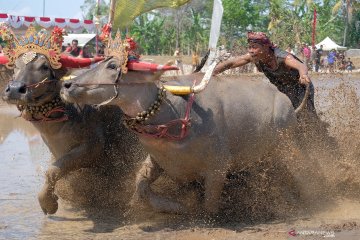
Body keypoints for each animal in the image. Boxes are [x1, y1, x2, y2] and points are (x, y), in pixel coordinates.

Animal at [1, 54, 145, 216]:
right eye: (15, 66)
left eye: (45, 66)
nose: (14, 89)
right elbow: (57, 169)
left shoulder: (93, 147)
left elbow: (53, 171)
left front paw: (48, 203)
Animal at [60, 53, 324, 215]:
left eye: (113, 66)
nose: (67, 85)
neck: (170, 113)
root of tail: (288, 105)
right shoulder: (157, 159)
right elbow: (141, 186)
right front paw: (171, 206)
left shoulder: (217, 167)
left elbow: (209, 206)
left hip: (289, 144)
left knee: (304, 170)